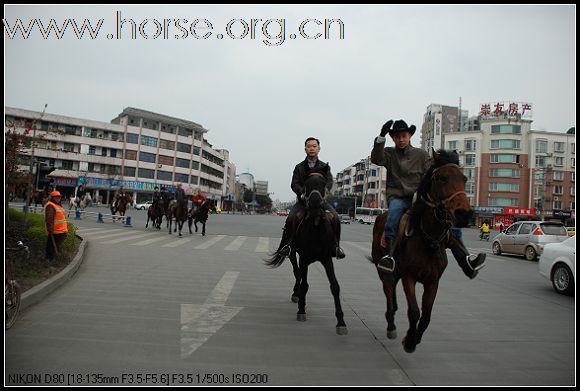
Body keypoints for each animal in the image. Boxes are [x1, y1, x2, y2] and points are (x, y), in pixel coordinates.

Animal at [268, 167, 348, 336]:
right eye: (307, 183)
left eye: (323, 183)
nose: (315, 203)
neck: (316, 227)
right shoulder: (304, 258)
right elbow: (304, 283)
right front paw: (301, 310)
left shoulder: (326, 258)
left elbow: (335, 286)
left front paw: (341, 322)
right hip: (292, 253)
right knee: (297, 272)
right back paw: (296, 294)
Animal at [370, 150, 474, 356]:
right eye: (443, 178)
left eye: (464, 178)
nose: (464, 214)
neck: (428, 238)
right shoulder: (409, 276)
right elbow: (414, 311)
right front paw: (409, 341)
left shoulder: (433, 280)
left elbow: (426, 315)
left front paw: (415, 339)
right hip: (382, 267)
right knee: (388, 289)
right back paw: (391, 323)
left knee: (392, 289)